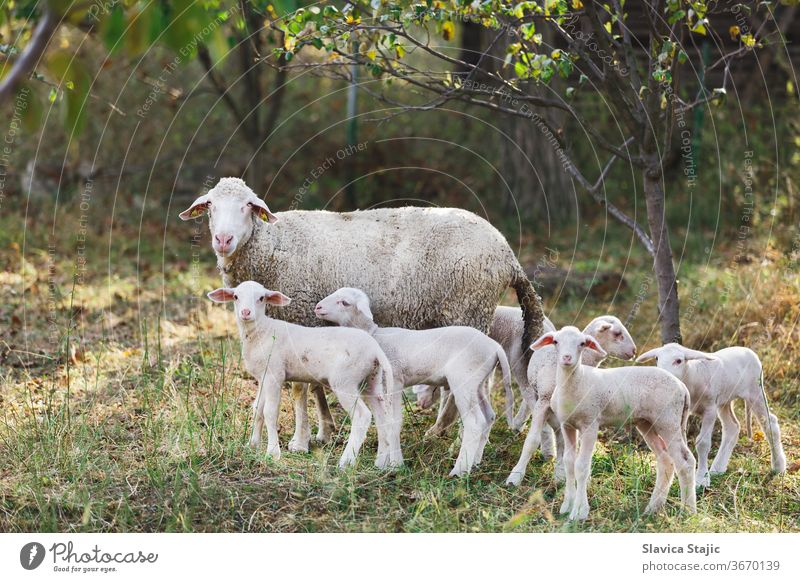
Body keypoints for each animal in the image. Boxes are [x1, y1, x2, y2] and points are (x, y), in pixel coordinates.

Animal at [209, 282, 404, 470]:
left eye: (261, 298)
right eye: (236, 296)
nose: (245, 313)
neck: (262, 331)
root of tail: (375, 349)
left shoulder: (274, 375)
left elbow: (270, 412)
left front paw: (272, 453)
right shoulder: (263, 376)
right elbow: (258, 409)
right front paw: (252, 445)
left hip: (345, 381)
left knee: (362, 416)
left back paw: (346, 462)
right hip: (371, 380)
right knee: (381, 416)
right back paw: (381, 462)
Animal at [312, 288, 512, 480]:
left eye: (345, 302)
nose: (318, 307)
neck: (374, 335)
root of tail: (494, 347)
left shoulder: (395, 380)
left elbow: (394, 421)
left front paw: (395, 464)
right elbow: (383, 420)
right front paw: (382, 462)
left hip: (464, 380)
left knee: (475, 422)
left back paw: (460, 470)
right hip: (478, 383)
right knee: (489, 416)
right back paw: (476, 461)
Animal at [512, 326, 692, 524]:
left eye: (582, 343)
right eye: (556, 342)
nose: (567, 358)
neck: (578, 380)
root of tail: (682, 387)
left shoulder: (590, 424)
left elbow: (582, 466)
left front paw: (579, 512)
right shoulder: (567, 425)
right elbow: (569, 463)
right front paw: (567, 506)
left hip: (669, 420)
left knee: (685, 461)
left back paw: (688, 510)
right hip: (647, 422)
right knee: (665, 460)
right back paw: (652, 508)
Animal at [636, 342, 788, 488]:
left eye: (678, 360)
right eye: (657, 358)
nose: (662, 376)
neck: (693, 376)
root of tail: (747, 350)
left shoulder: (709, 409)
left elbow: (703, 443)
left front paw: (701, 479)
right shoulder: (685, 411)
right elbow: (683, 441)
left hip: (755, 391)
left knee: (770, 424)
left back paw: (778, 466)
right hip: (724, 400)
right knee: (732, 427)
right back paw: (718, 468)